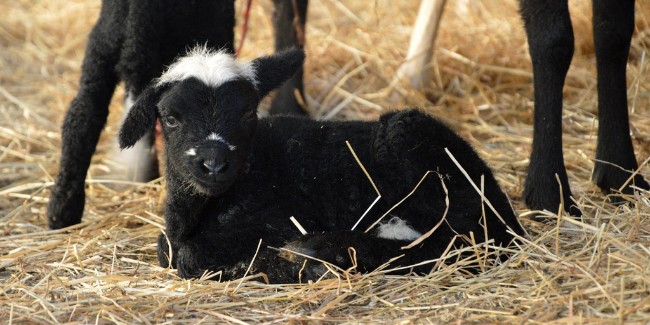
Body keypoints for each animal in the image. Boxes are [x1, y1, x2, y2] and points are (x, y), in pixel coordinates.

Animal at [119, 46, 528, 282]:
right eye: (171, 118)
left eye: (248, 112)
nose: (215, 165)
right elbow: (165, 247)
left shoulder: (281, 218)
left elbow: (189, 255)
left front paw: (278, 265)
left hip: (413, 144)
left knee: (458, 243)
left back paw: (322, 252)